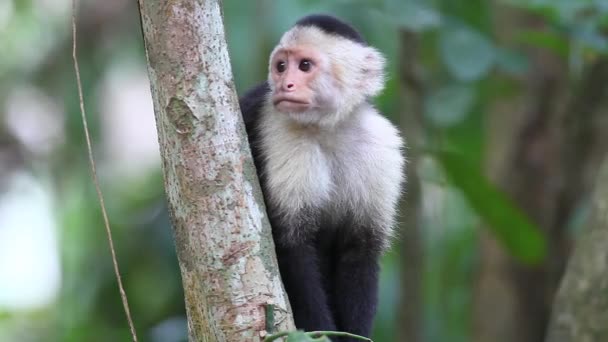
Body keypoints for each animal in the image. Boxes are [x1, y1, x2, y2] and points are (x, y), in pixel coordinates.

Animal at [240, 14, 406, 340]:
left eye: (305, 65)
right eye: (281, 66)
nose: (285, 84)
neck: (328, 128)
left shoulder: (382, 147)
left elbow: (360, 250)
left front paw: (356, 334)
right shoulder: (281, 133)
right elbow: (291, 244)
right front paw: (320, 332)